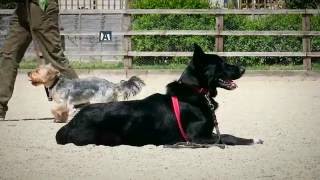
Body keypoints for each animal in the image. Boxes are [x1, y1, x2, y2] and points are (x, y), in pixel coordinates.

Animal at [56, 44, 264, 147]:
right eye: (221, 63)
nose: (244, 69)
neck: (196, 92)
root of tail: (71, 123)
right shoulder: (196, 138)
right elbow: (226, 136)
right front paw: (252, 140)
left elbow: (224, 134)